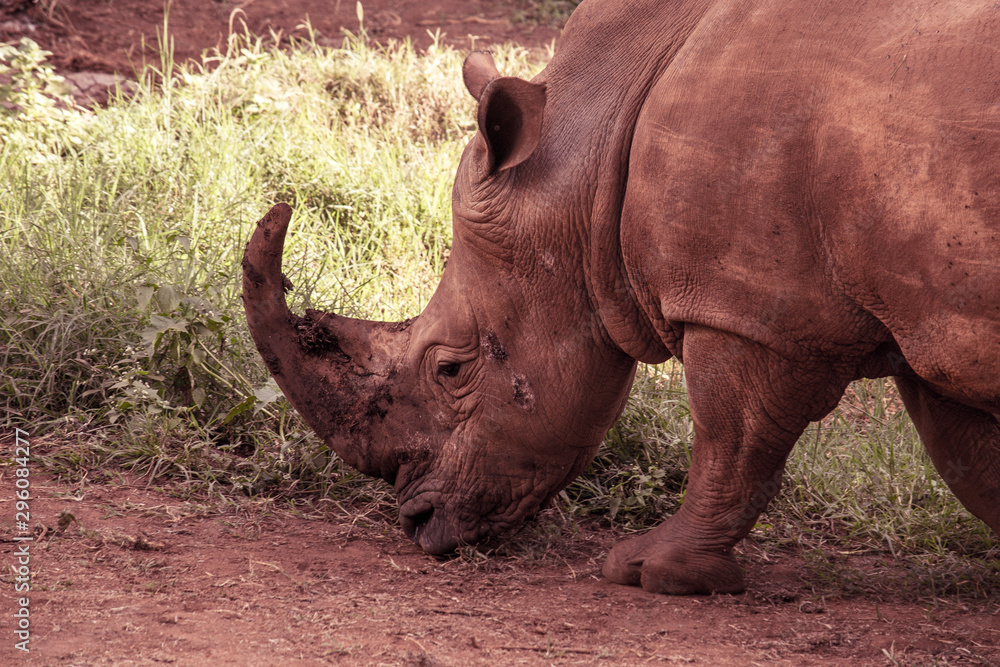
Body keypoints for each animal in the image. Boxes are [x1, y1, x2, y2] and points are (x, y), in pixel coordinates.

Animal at [242, 0, 1000, 594]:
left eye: (451, 369)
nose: (416, 525)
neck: (589, 145)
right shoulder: (929, 320)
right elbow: (971, 459)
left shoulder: (745, 310)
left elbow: (732, 439)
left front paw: (650, 572)